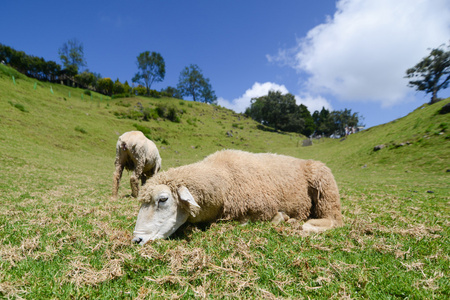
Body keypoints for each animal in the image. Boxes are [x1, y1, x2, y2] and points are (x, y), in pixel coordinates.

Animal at [132, 149, 342, 245]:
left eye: (163, 199)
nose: (136, 240)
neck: (223, 177)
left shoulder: (257, 209)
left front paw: (281, 218)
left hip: (326, 190)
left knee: (334, 220)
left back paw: (304, 225)